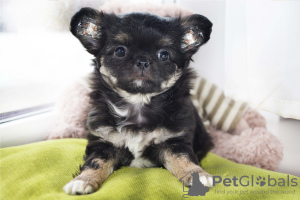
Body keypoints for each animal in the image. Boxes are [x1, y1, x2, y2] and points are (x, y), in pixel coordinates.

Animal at [63, 8, 213, 195]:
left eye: (164, 55)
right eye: (120, 51)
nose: (142, 61)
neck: (138, 103)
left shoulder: (174, 142)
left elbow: (184, 158)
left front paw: (197, 175)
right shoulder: (104, 143)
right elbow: (94, 162)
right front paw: (83, 180)